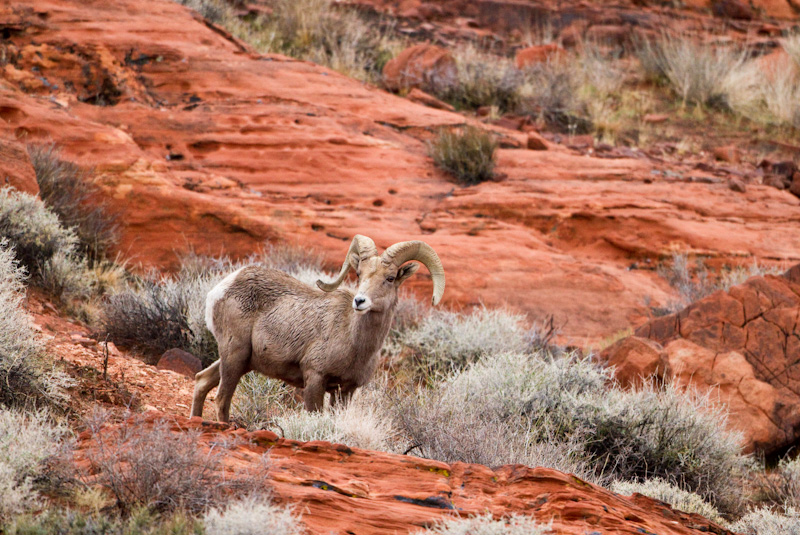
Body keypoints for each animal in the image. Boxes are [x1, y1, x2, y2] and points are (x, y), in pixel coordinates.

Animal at [191, 236, 446, 422]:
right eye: (359, 274)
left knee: (202, 381)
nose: (360, 301)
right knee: (222, 400)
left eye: (390, 278)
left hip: (242, 361)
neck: (354, 341)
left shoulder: (345, 390)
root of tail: (220, 289)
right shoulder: (315, 378)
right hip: (235, 355)